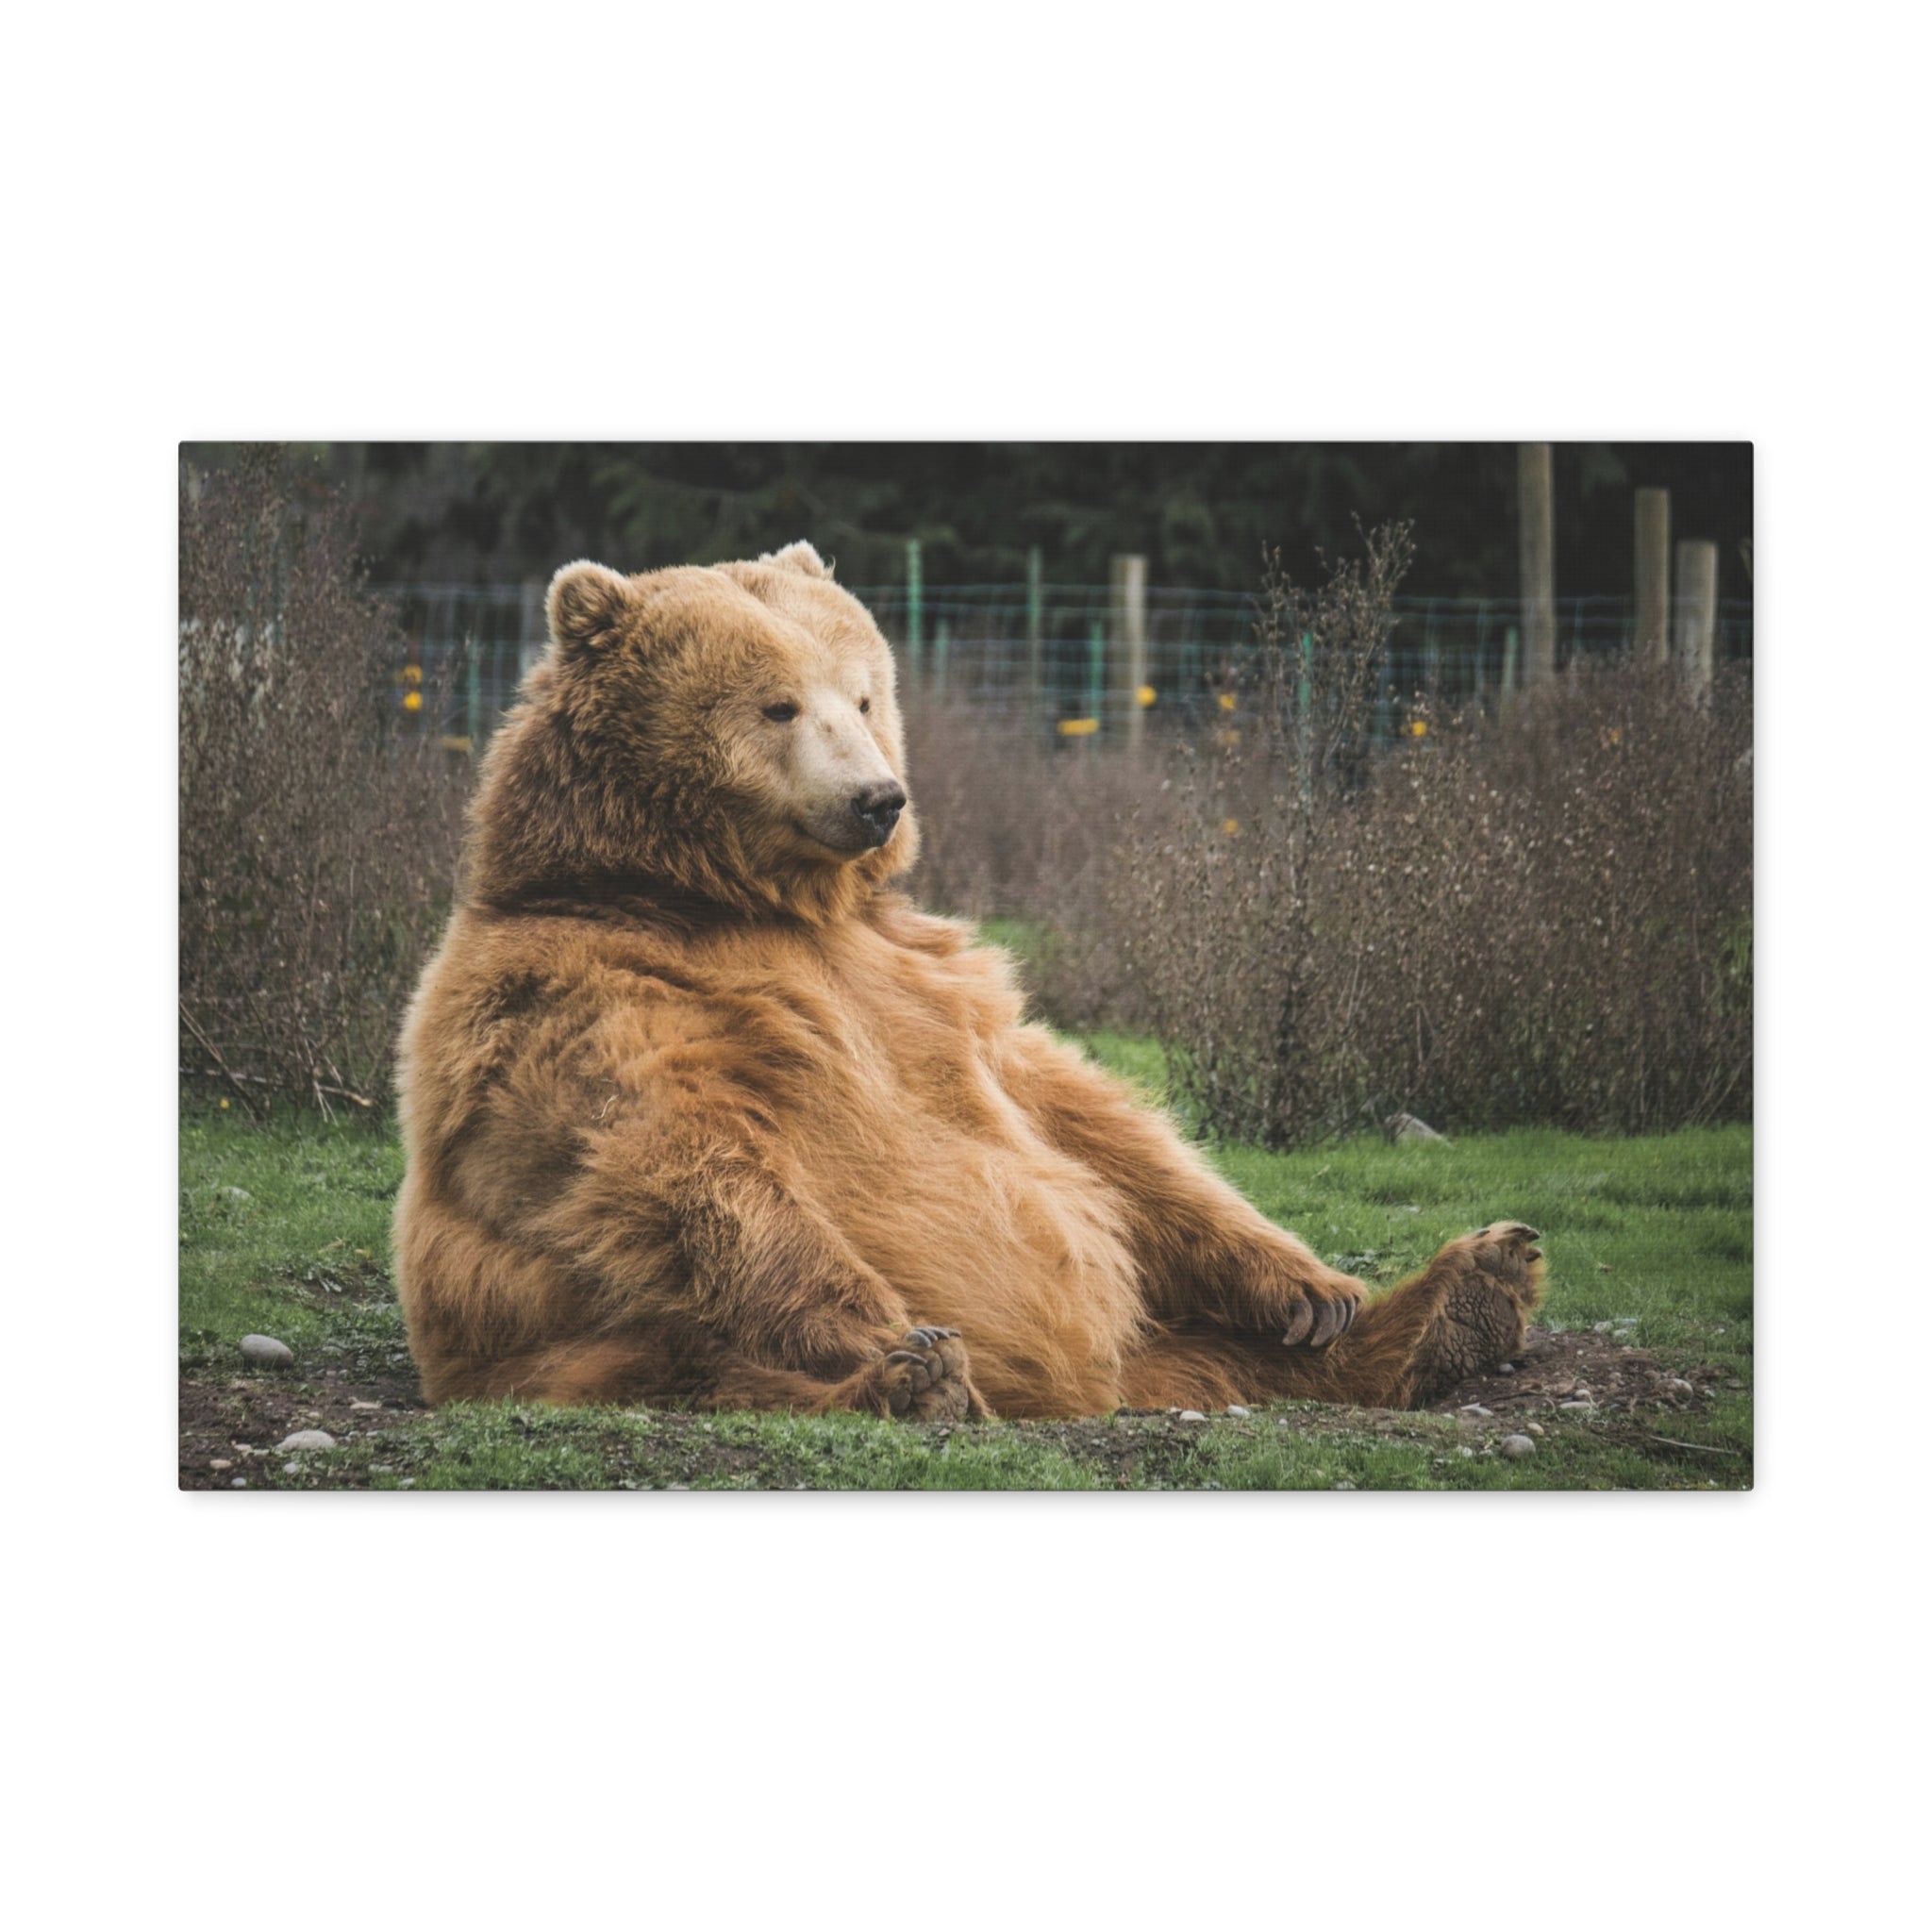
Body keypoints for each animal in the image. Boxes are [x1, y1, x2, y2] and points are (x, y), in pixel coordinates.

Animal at [392, 541, 1544, 1421]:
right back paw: (915, 1381)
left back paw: (1462, 1294)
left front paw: (1311, 1286)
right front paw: (894, 1336)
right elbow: (677, 1158)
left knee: (1229, 1353)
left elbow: (1086, 1119)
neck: (732, 898)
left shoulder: (927, 979)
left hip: (1162, 1338)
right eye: (777, 706)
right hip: (572, 1342)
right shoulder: (584, 992)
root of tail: (1089, 1390)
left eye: (863, 693)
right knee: (705, 1362)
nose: (877, 798)